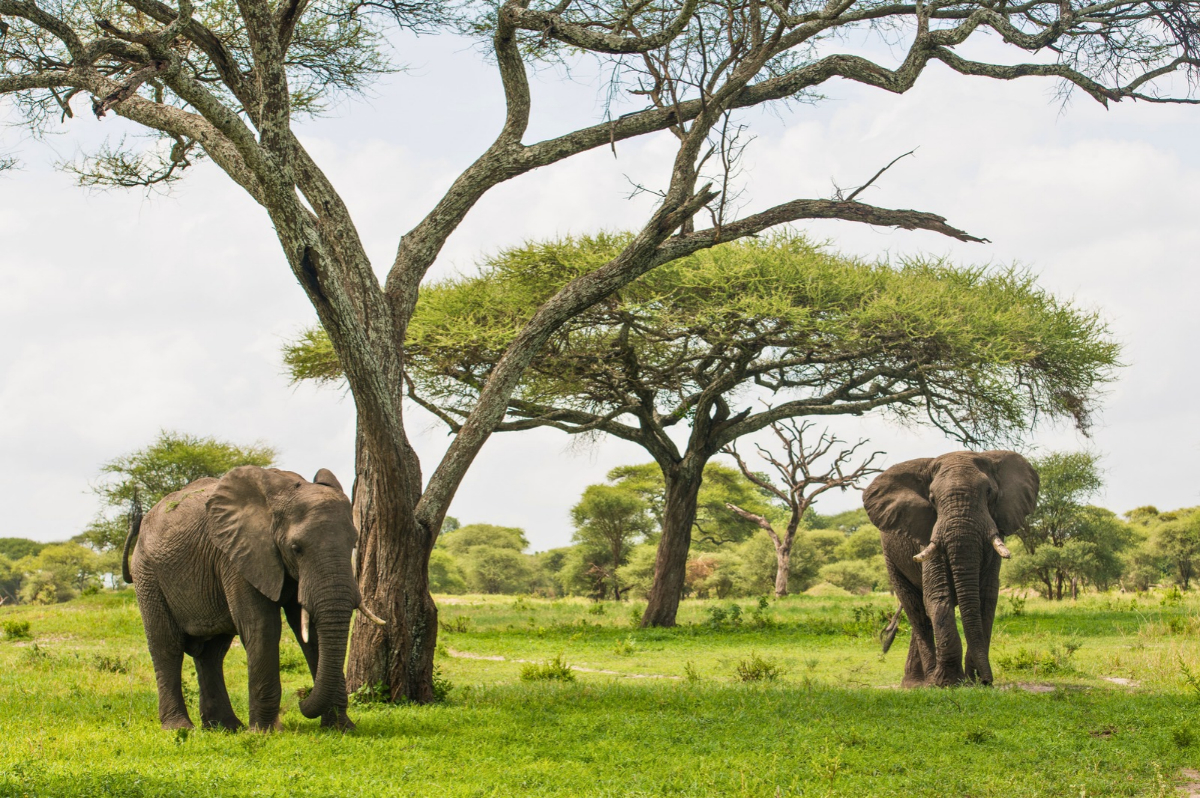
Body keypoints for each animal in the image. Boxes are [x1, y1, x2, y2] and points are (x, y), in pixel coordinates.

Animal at [122, 465, 386, 731]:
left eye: (353, 544)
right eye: (296, 548)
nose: (301, 700)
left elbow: (311, 629)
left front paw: (341, 728)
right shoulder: (237, 555)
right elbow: (262, 626)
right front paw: (264, 732)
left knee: (212, 653)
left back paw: (225, 727)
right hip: (148, 574)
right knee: (167, 646)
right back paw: (180, 728)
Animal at [862, 451, 1038, 687]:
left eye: (989, 493)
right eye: (932, 499)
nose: (986, 680)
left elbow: (986, 597)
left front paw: (972, 681)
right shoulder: (928, 533)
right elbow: (937, 595)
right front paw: (947, 683)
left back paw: (918, 681)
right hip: (891, 558)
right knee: (917, 612)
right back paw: (922, 682)